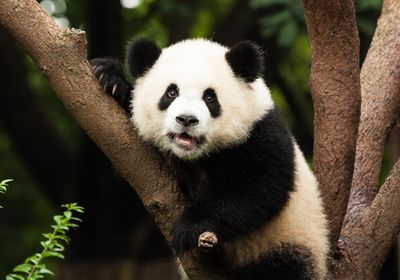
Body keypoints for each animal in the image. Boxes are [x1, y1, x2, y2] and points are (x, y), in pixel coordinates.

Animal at [90, 38, 328, 278]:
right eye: (171, 93)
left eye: (210, 97)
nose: (186, 119)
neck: (196, 156)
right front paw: (111, 79)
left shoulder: (260, 132)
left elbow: (259, 188)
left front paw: (190, 226)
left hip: (287, 243)